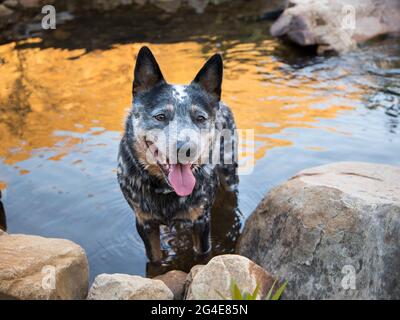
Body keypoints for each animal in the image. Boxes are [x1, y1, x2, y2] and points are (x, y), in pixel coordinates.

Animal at [118, 47, 238, 262]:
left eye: (200, 118)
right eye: (160, 116)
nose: (186, 149)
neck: (166, 190)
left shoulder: (201, 221)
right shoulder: (144, 223)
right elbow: (155, 259)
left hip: (230, 174)